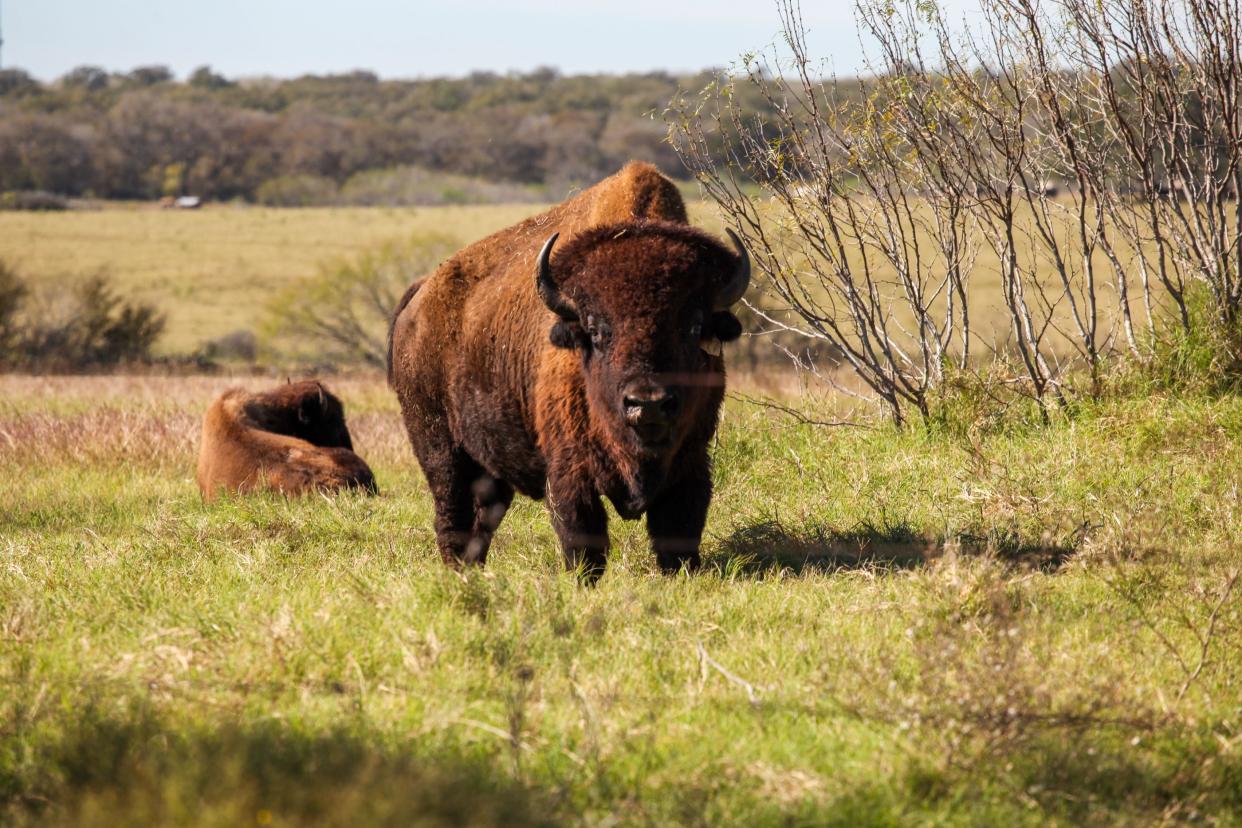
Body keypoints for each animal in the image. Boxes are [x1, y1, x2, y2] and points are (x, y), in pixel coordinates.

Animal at [387, 160, 745, 576]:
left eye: (692, 327)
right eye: (595, 329)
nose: (648, 403)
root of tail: (420, 294)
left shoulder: (690, 463)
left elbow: (678, 534)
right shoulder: (570, 471)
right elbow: (582, 540)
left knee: (481, 518)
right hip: (439, 447)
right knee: (451, 514)